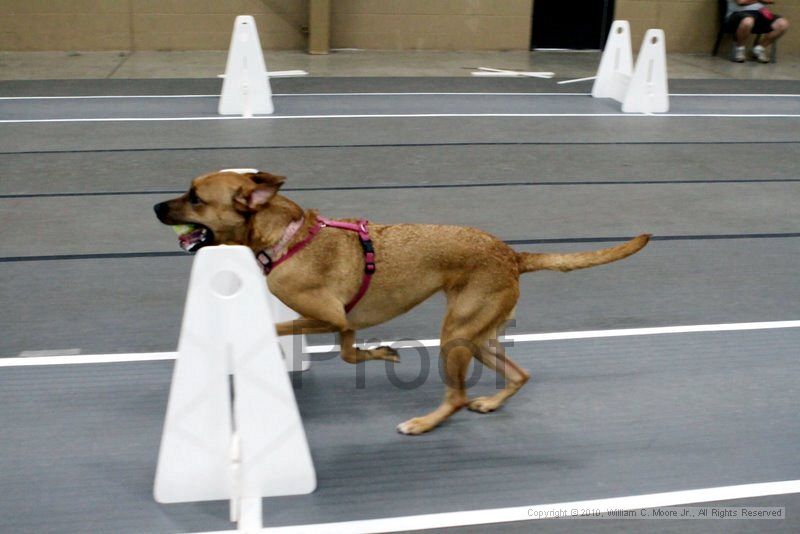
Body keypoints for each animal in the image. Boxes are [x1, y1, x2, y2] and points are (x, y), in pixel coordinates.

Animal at [156, 172, 648, 436]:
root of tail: (512, 255)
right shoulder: (342, 322)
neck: (285, 236)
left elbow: (289, 331)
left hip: (455, 338)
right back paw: (490, 403)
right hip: (477, 335)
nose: (157, 207)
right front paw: (383, 353)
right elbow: (350, 352)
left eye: (195, 197)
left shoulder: (325, 317)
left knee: (457, 397)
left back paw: (424, 423)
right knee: (519, 374)